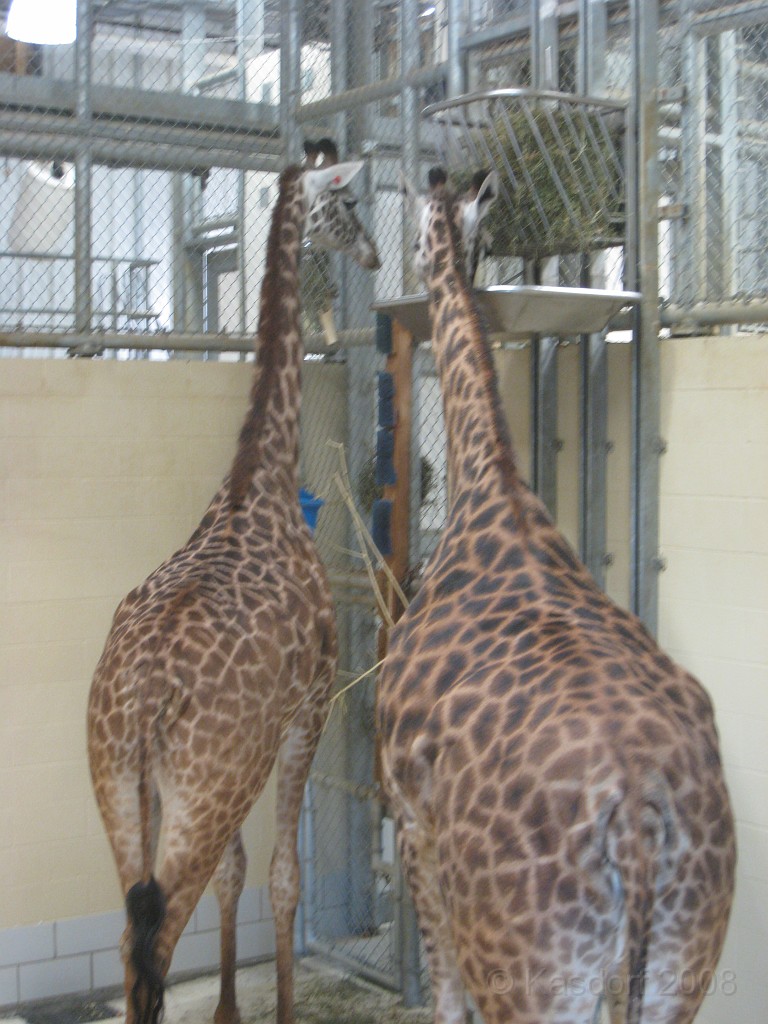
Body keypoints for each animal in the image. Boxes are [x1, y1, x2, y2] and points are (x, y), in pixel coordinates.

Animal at [85, 144, 380, 1024]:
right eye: (347, 205)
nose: (373, 255)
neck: (260, 478)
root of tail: (144, 700)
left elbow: (240, 875)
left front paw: (225, 1010)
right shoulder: (310, 710)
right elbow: (280, 878)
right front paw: (275, 1009)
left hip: (123, 791)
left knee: (133, 938)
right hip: (207, 789)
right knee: (155, 941)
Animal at [378, 169, 741, 1024]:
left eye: (416, 236)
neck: (496, 495)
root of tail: (639, 820)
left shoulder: (410, 823)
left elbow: (443, 998)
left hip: (534, 969)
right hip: (678, 961)